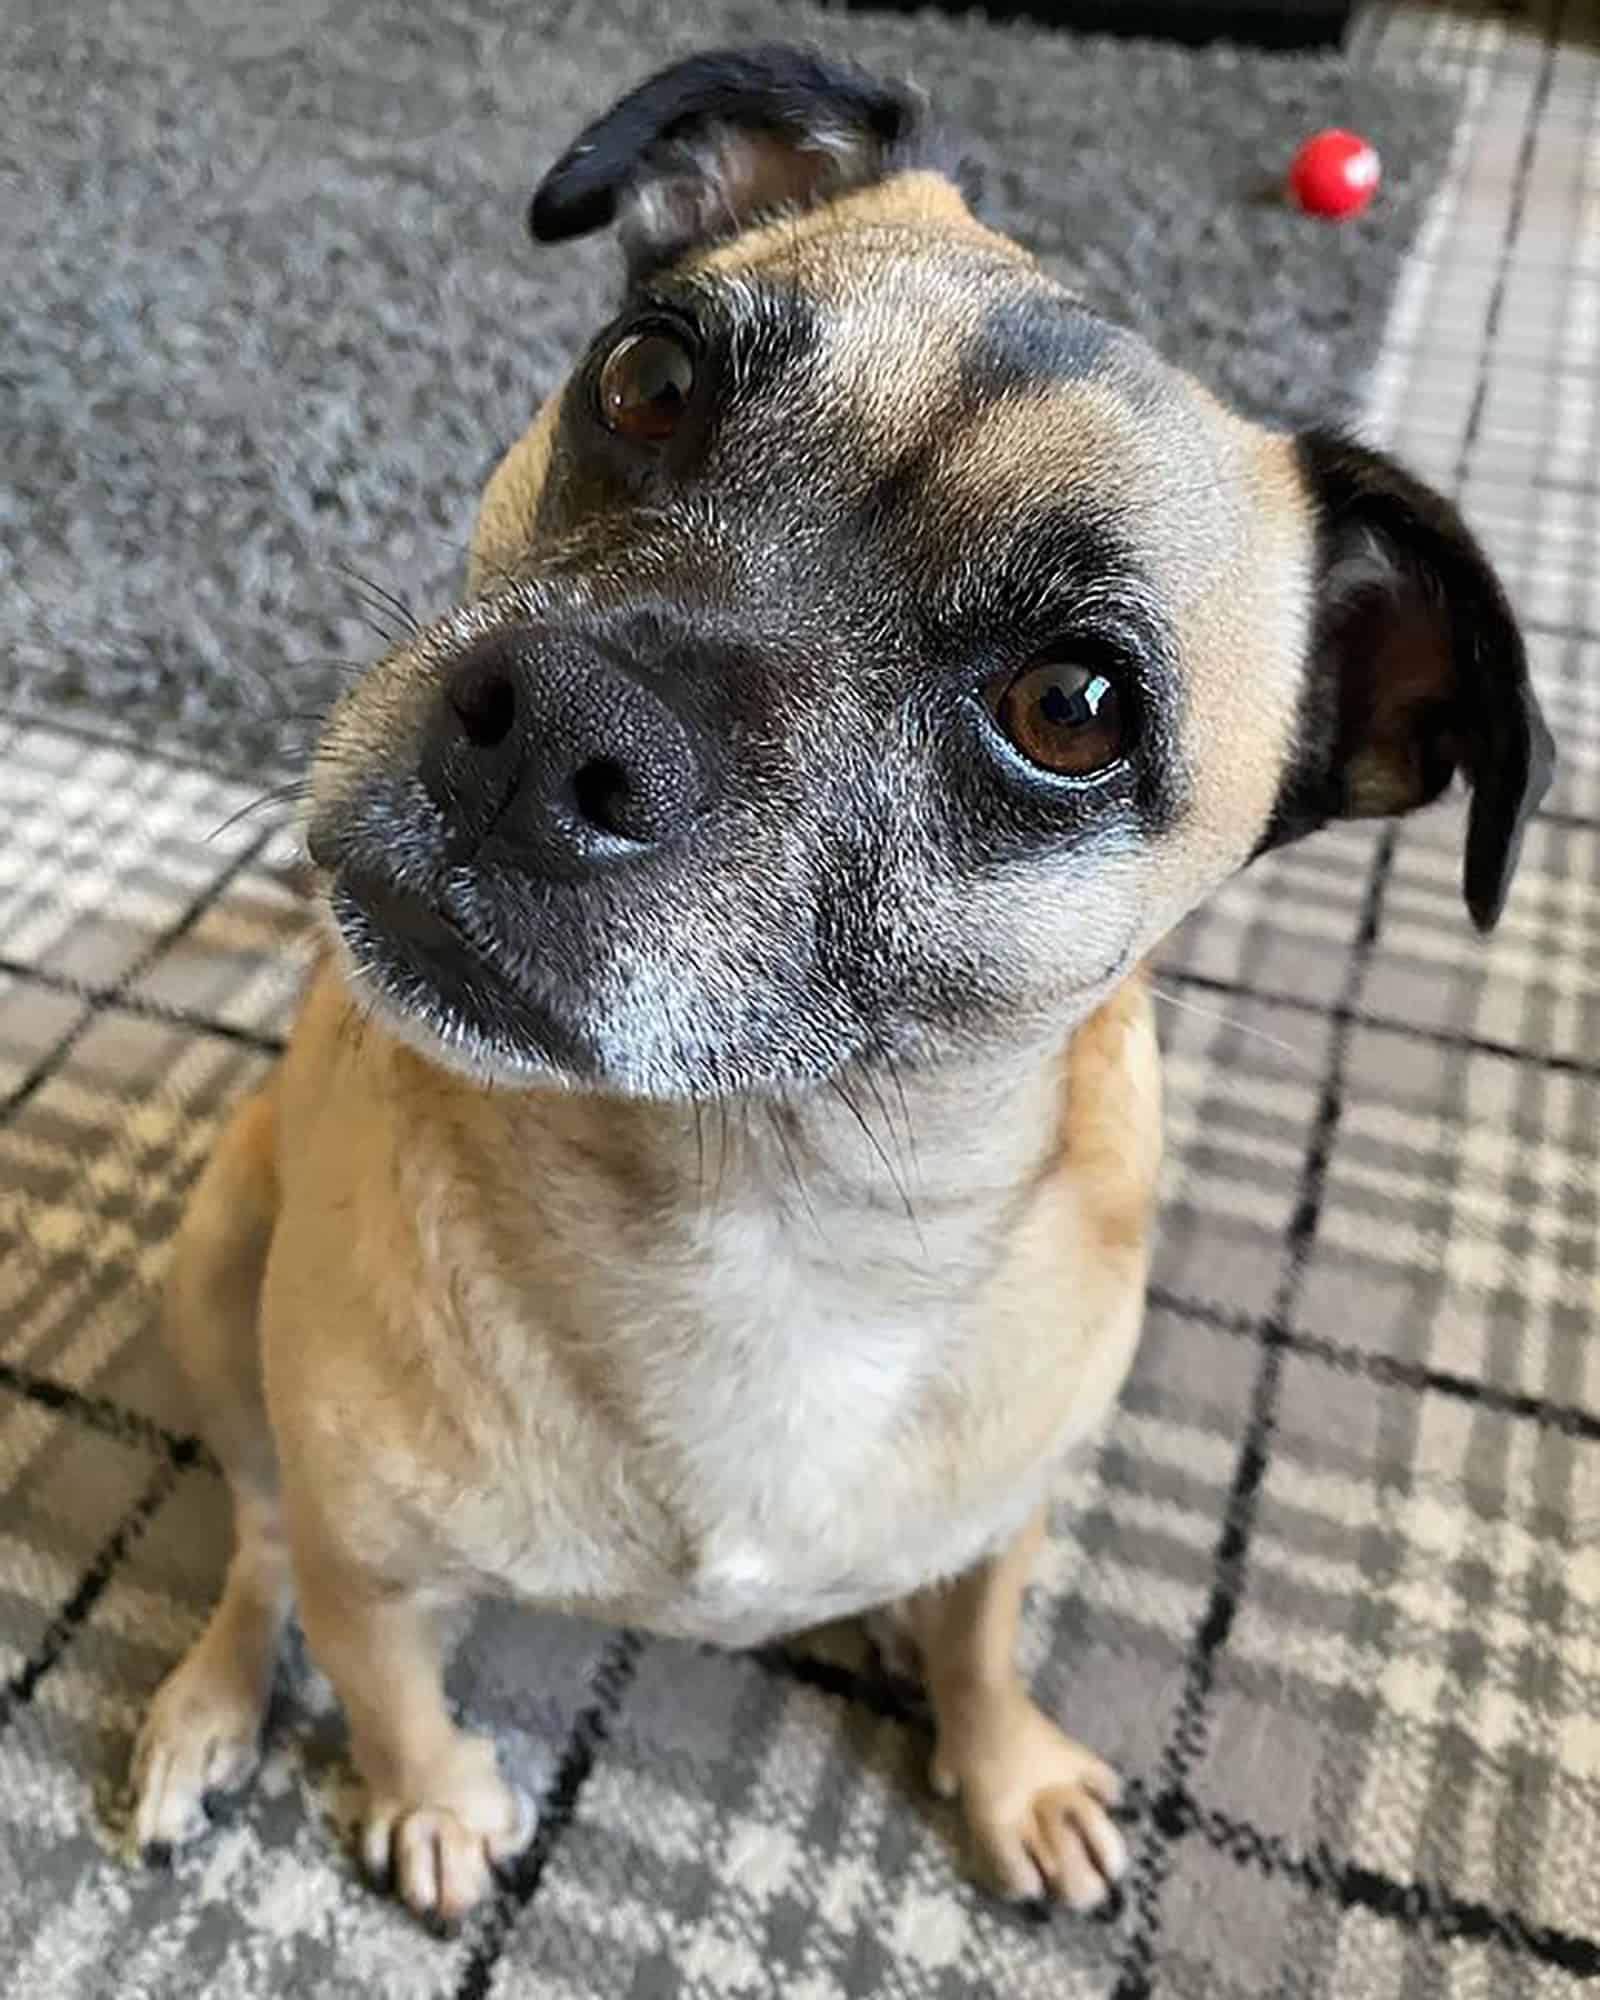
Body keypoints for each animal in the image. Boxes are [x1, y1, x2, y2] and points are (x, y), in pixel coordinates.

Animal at [131, 43, 1560, 1920]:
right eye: (649, 378)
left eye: (1074, 711)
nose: (555, 729)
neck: (766, 1197)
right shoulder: (369, 1564)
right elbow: (385, 1685)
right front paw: (433, 1800)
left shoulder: (1014, 1509)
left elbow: (989, 1634)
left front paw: (1006, 1766)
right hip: (219, 1274)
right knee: (252, 1540)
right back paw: (209, 1708)